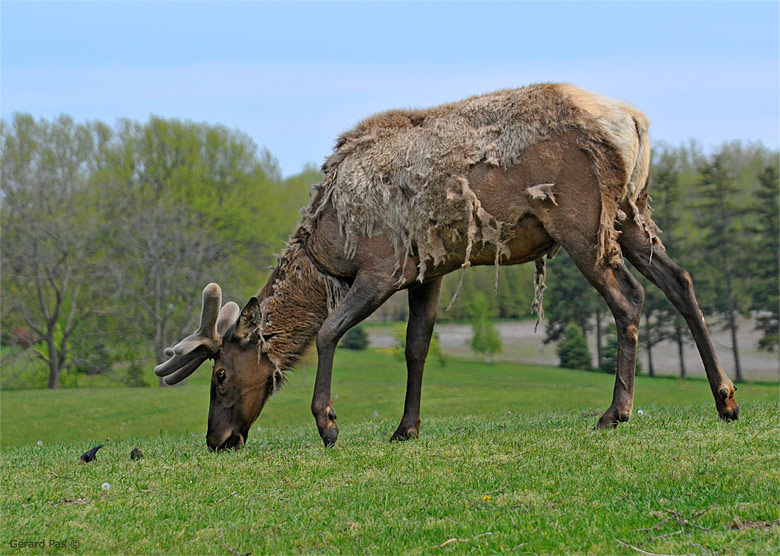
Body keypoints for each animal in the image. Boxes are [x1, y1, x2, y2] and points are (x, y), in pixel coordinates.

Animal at [155, 86, 740, 452]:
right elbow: (416, 347)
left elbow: (327, 332)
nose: (217, 441)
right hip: (631, 214)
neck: (328, 249)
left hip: (581, 221)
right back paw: (725, 398)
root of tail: (636, 122)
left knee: (630, 298)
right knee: (682, 282)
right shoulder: (428, 271)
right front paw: (405, 429)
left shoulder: (381, 266)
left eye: (220, 375)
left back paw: (615, 413)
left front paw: (328, 424)